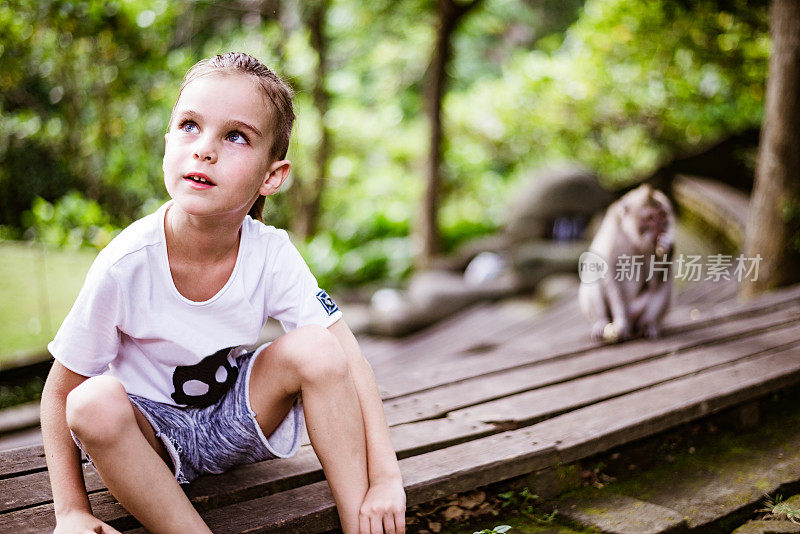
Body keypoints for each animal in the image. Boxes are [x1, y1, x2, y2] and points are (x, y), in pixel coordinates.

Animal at [580, 184, 672, 344]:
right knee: (593, 280)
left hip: (637, 311)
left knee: (664, 285)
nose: (661, 228)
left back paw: (648, 324)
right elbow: (611, 278)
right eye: (651, 217)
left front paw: (666, 246)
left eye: (662, 215)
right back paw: (601, 322)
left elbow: (656, 280)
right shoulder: (613, 238)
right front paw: (620, 322)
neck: (632, 237)